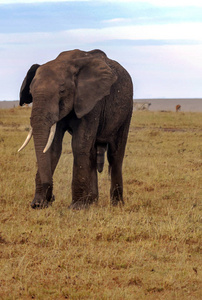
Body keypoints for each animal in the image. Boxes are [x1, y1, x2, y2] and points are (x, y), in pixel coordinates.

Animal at [18, 49, 133, 209]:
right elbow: (53, 147)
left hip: (127, 109)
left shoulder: (92, 101)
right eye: (31, 92)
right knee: (92, 153)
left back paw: (116, 205)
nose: (51, 198)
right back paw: (92, 202)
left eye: (62, 91)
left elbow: (79, 145)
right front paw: (38, 204)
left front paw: (77, 207)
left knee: (115, 155)